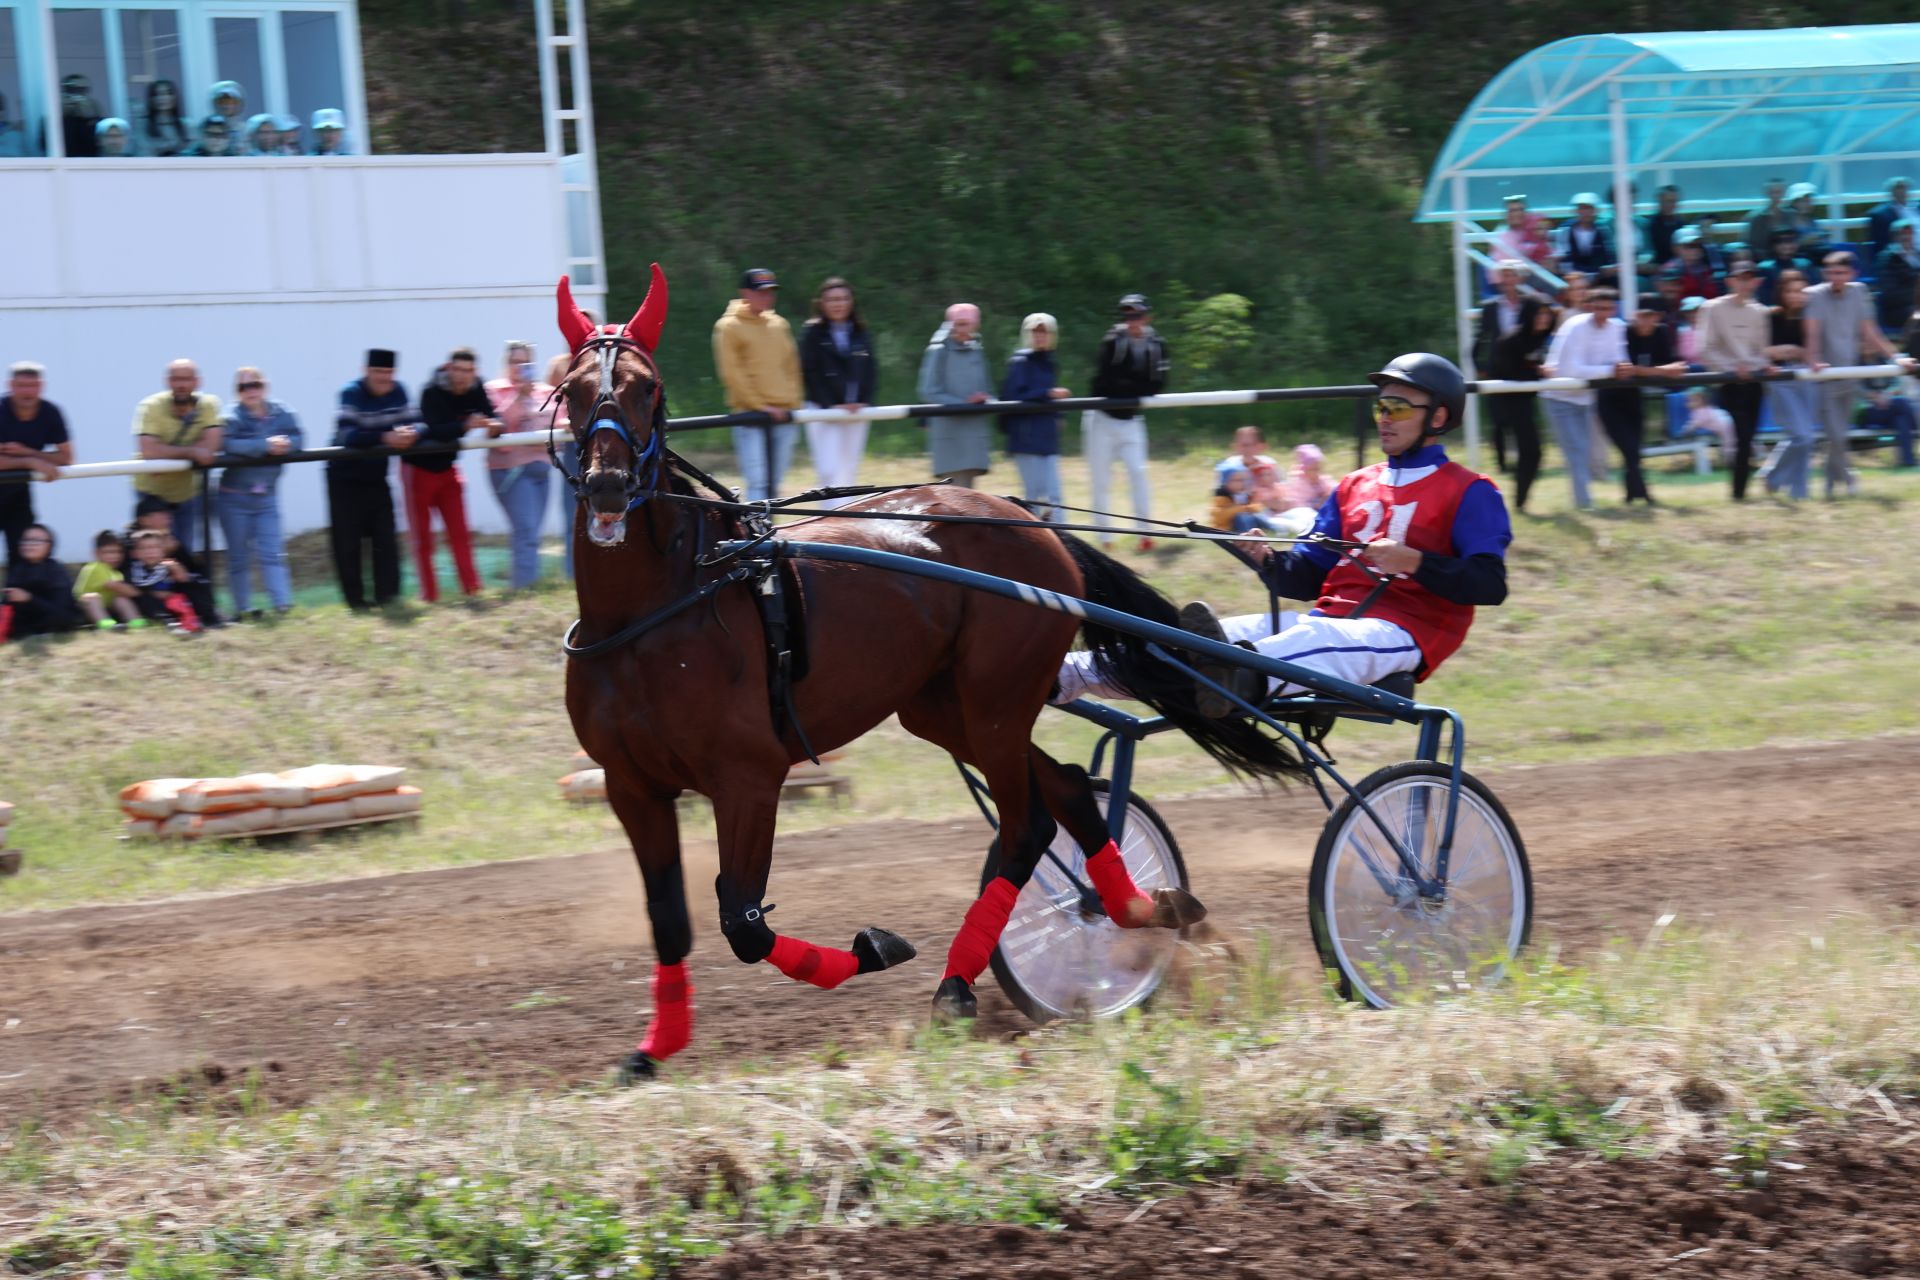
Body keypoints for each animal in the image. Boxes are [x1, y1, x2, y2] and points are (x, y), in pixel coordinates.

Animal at [556, 270, 1305, 1082]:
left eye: (647, 387)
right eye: (569, 386)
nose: (607, 484)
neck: (658, 607)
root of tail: (1028, 520)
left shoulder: (749, 775)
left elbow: (743, 921)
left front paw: (873, 947)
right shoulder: (634, 787)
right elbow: (671, 920)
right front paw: (652, 1051)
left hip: (995, 701)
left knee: (1027, 824)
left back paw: (961, 983)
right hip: (947, 709)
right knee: (1072, 791)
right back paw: (1140, 909)